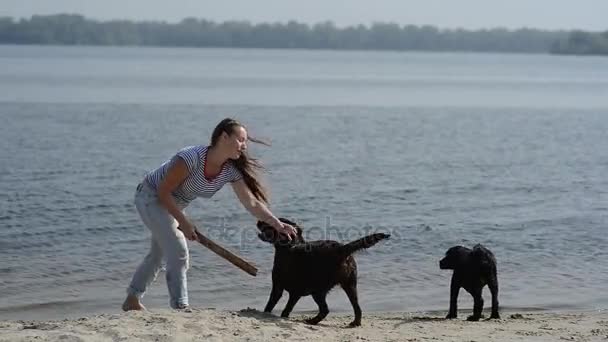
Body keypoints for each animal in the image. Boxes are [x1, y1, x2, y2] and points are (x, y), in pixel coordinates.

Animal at [256, 218, 390, 328]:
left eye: (271, 222)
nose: (258, 221)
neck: (290, 247)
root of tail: (342, 249)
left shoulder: (284, 289)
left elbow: (276, 306)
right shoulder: (290, 291)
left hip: (318, 290)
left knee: (325, 310)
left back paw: (311, 321)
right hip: (350, 285)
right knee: (356, 307)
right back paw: (354, 323)